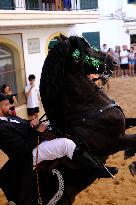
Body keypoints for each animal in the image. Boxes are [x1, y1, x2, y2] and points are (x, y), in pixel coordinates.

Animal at [34, 35, 136, 205]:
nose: (113, 61)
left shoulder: (124, 125)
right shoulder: (116, 142)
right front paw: (133, 162)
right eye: (88, 50)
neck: (85, 108)